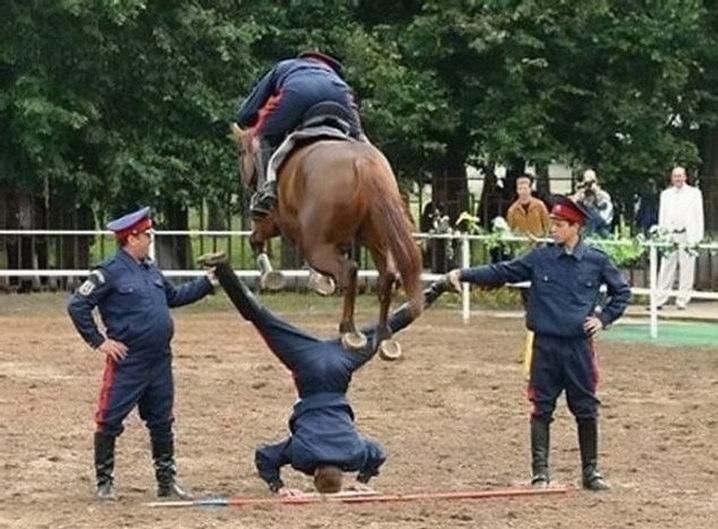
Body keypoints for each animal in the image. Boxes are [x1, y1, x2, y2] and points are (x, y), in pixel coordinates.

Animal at [231, 121, 424, 356]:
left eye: (242, 152)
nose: (244, 181)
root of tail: (363, 163)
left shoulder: (272, 222)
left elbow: (256, 239)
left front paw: (271, 275)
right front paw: (320, 281)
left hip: (317, 247)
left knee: (349, 271)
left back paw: (349, 331)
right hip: (377, 239)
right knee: (387, 276)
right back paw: (383, 336)